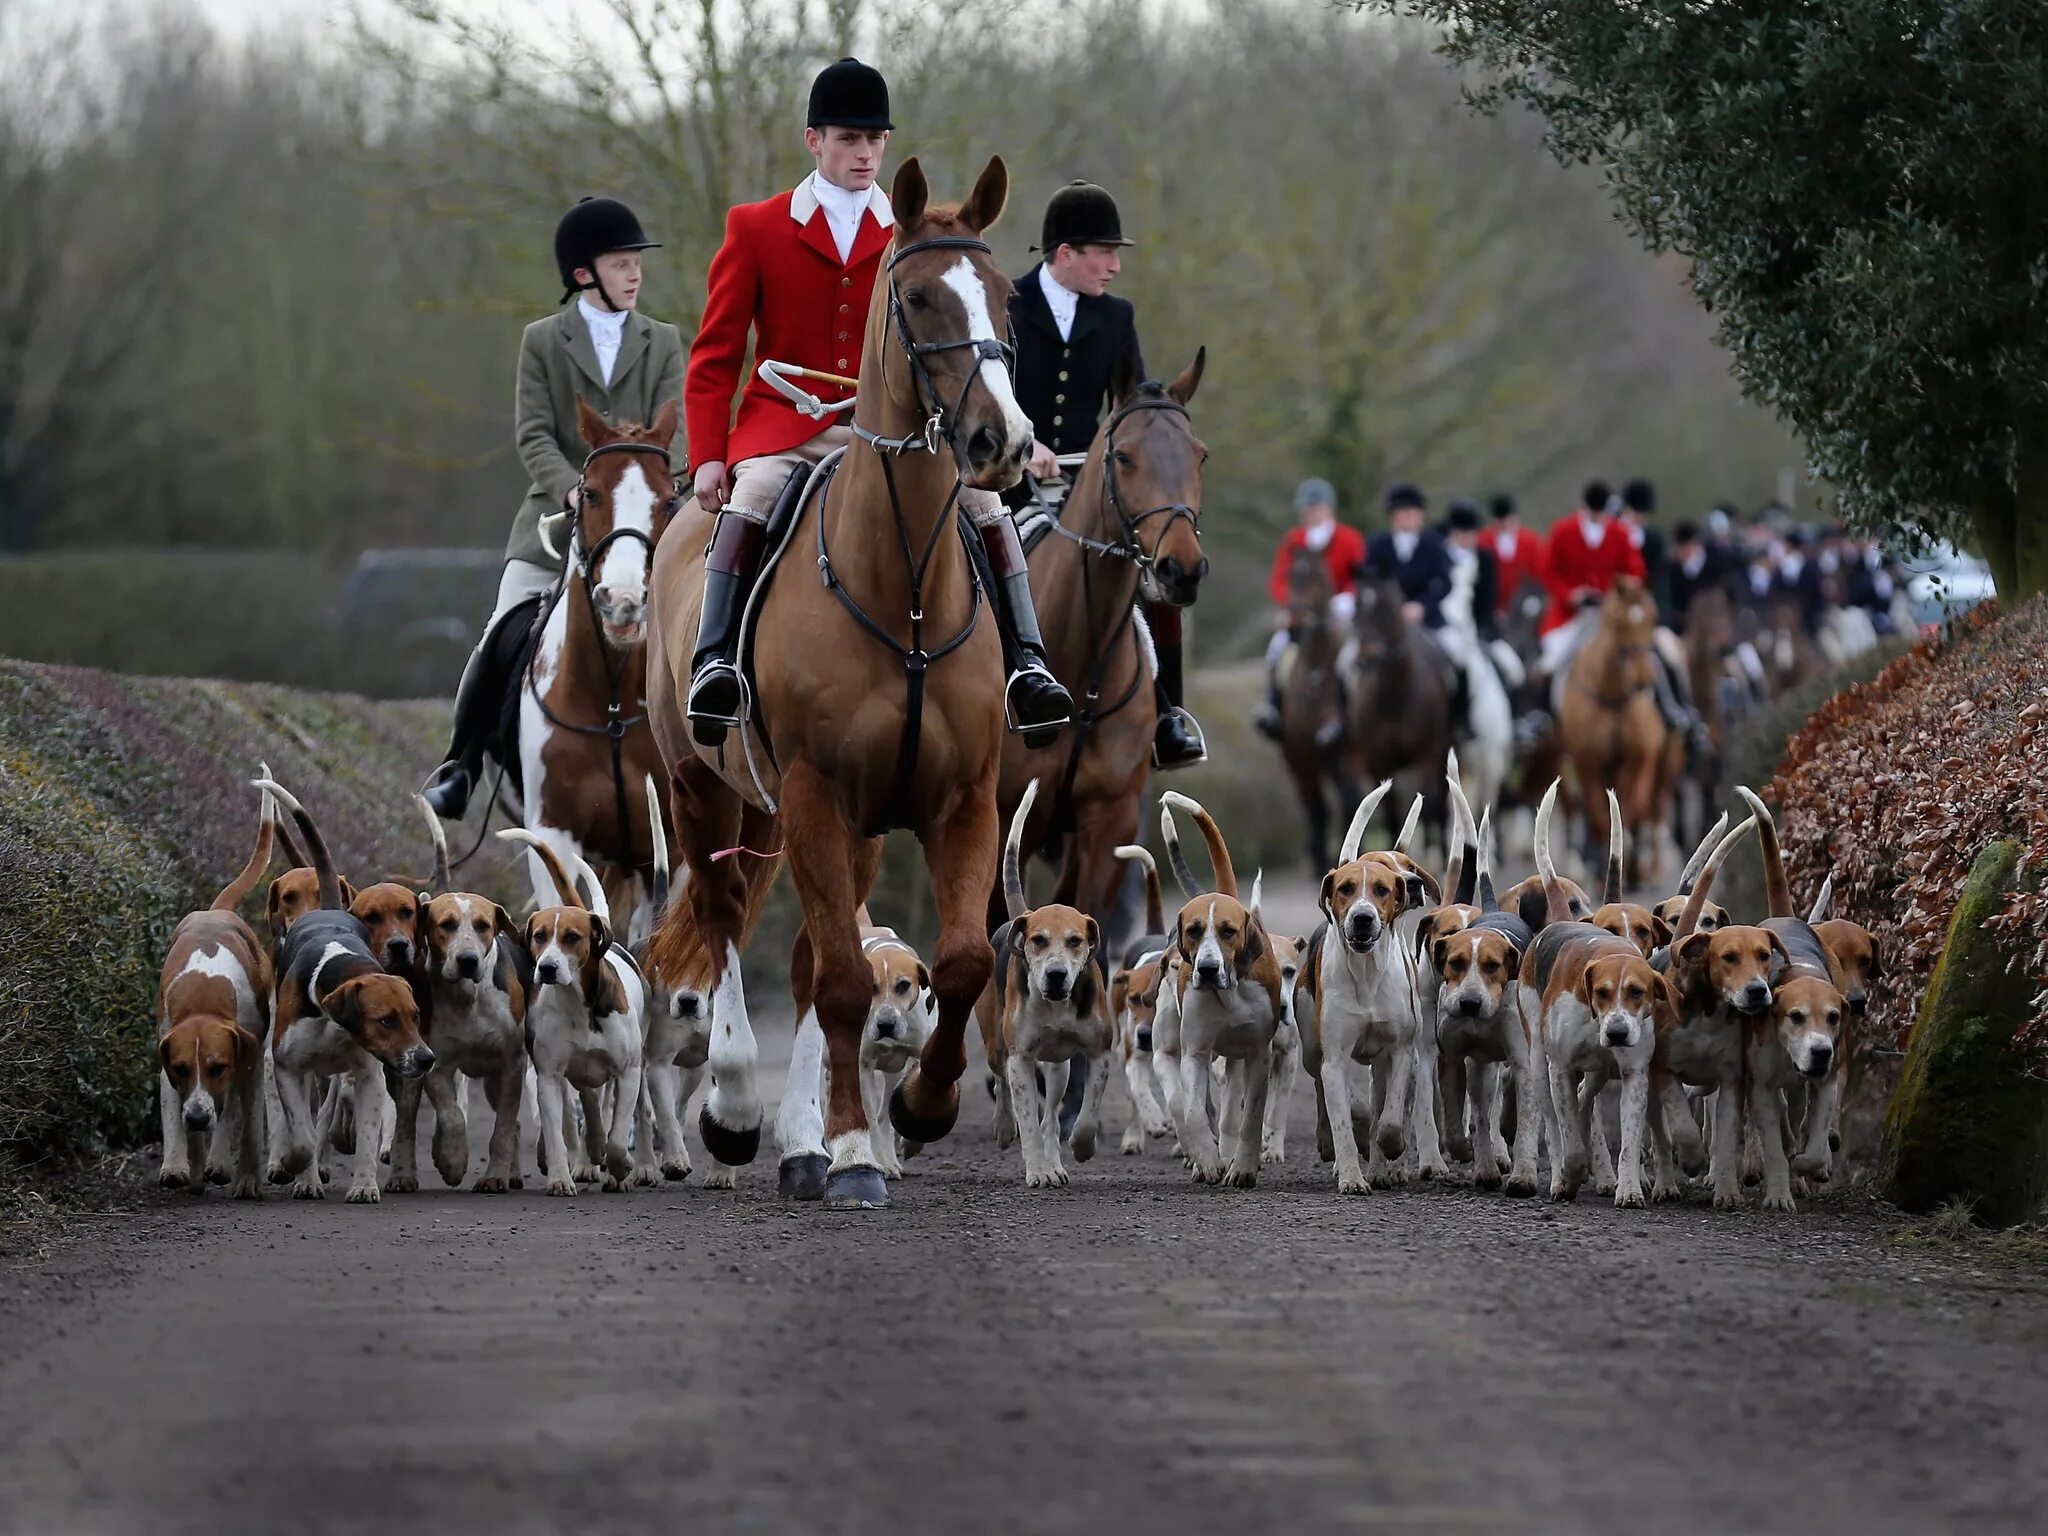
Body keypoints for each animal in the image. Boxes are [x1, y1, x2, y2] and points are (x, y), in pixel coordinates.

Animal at [516, 397, 684, 937]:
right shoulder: (553, 835)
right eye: (589, 494)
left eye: (669, 500)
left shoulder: (671, 850)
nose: (624, 601)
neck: (610, 702)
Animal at [647, 156, 1024, 1212]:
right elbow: (850, 981)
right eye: (919, 296)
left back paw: (802, 1140)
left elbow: (959, 960)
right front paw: (856, 1150)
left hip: (831, 825)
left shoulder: (960, 800)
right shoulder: (816, 792)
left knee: (814, 955)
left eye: (1008, 296)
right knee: (729, 923)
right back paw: (740, 1112)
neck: (903, 591)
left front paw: (919, 1110)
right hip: (708, 789)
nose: (1005, 441)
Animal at [1556, 573, 1671, 888]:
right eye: (1619, 623)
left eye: (1653, 618)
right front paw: (1600, 870)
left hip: (1665, 765)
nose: (1644, 678)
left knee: (1653, 809)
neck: (1612, 694)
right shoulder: (1586, 761)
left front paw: (1624, 859)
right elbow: (1597, 813)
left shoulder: (1634, 758)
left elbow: (1627, 809)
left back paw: (1648, 868)